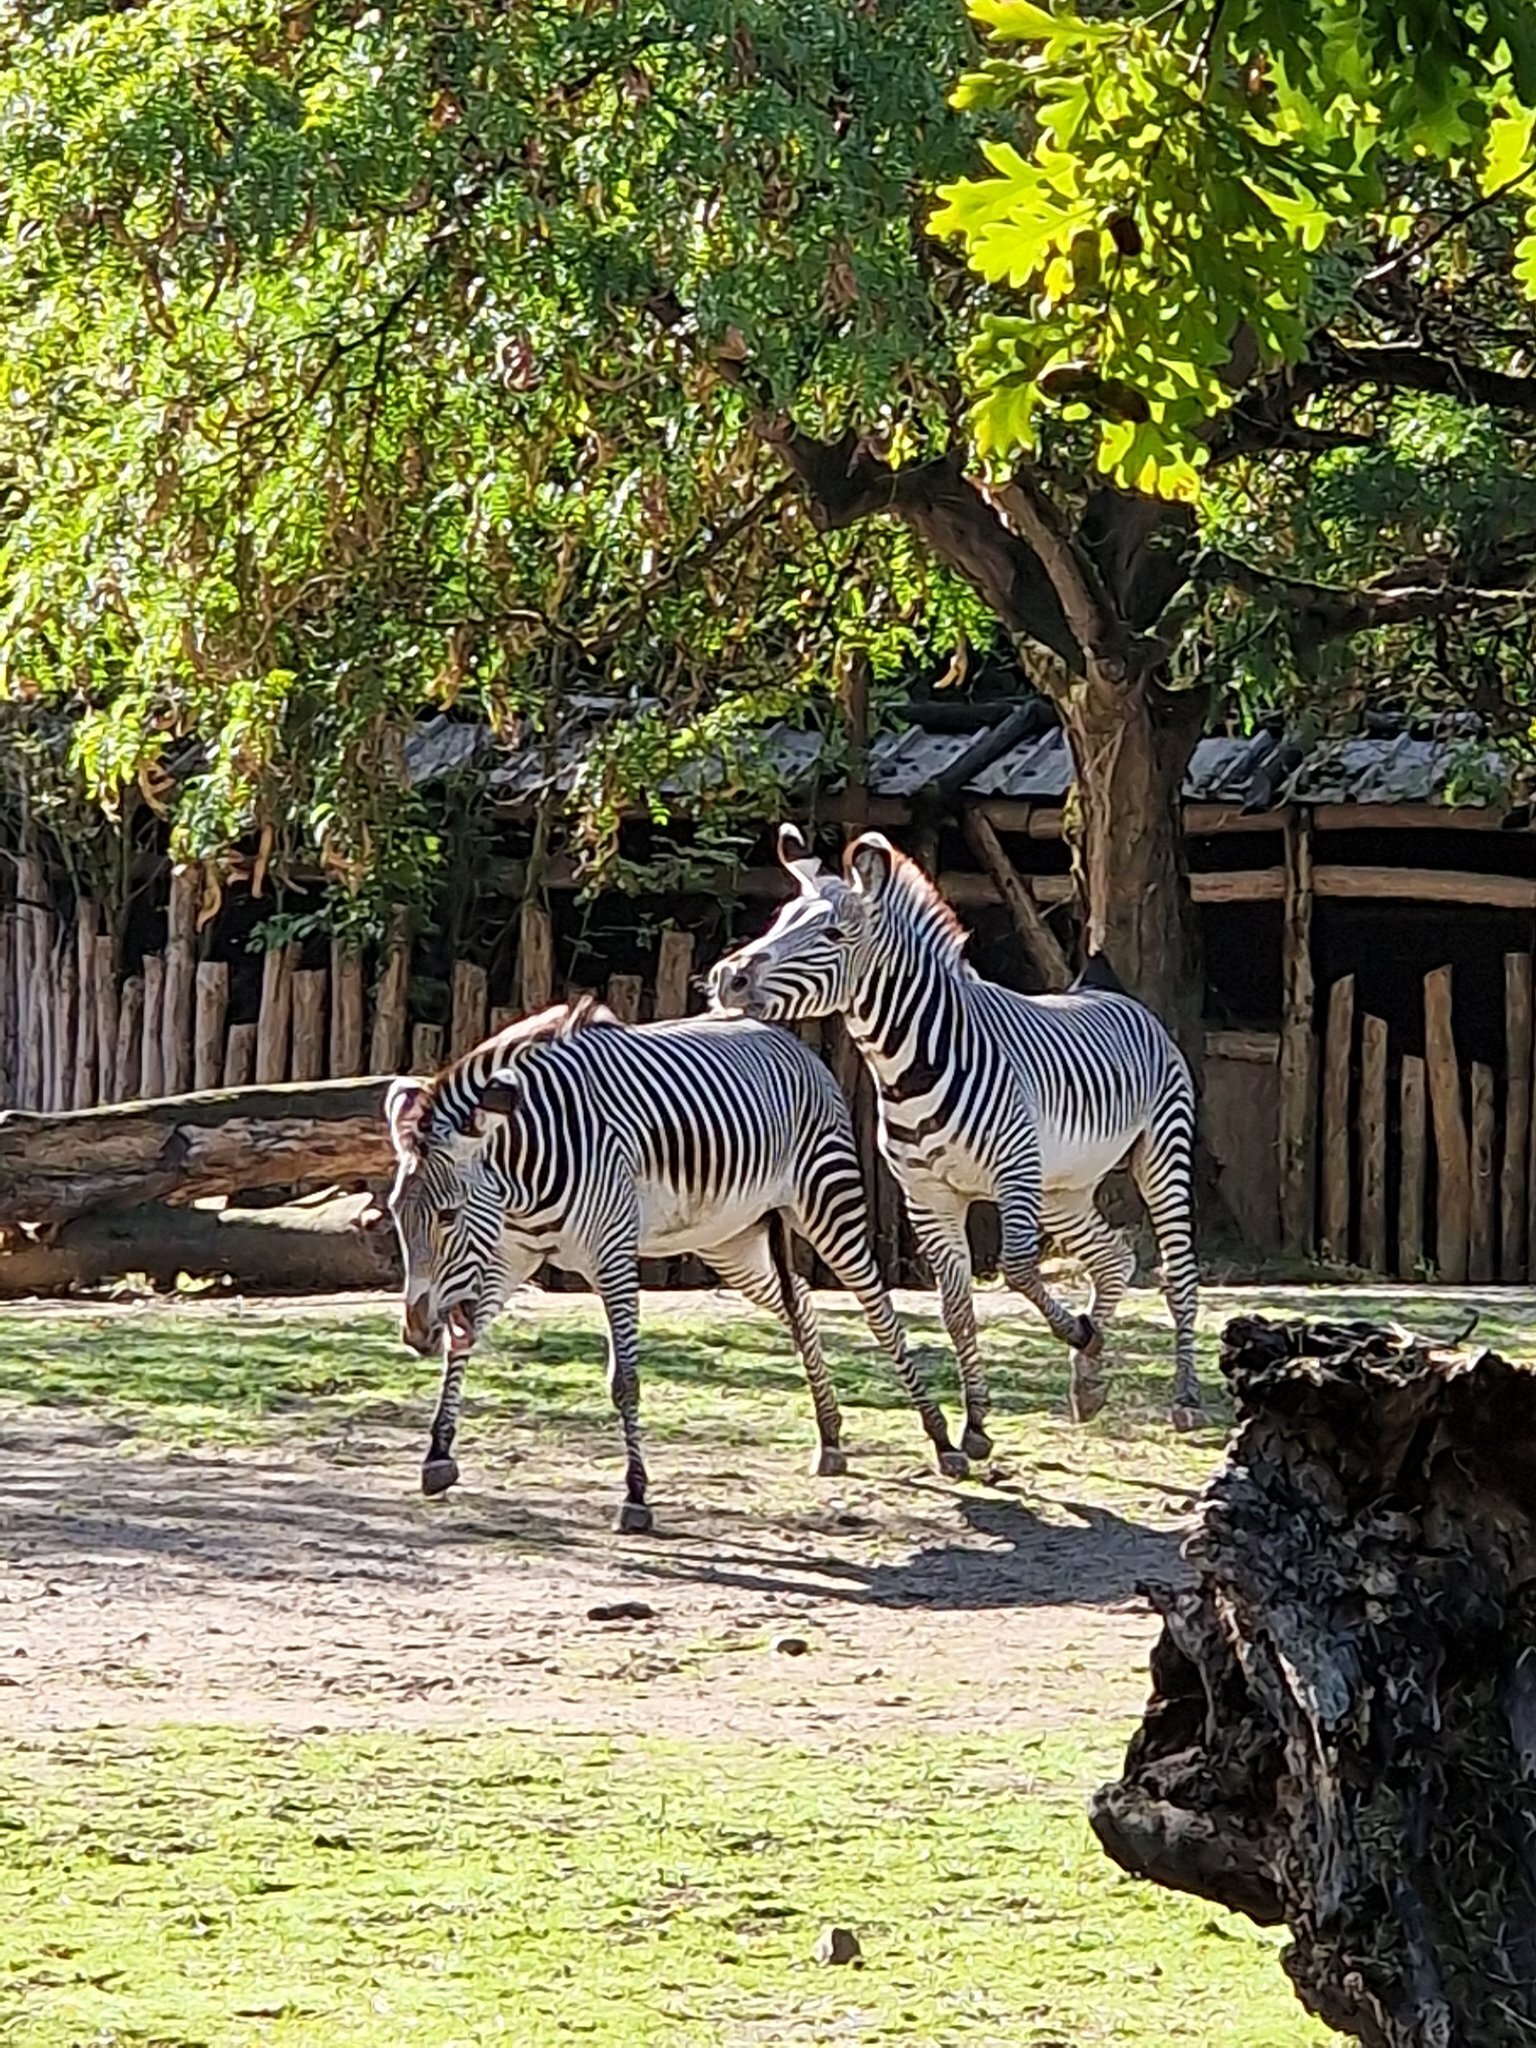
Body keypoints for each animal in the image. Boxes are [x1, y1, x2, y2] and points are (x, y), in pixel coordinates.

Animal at [384, 998, 970, 1532]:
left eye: (448, 1214)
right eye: (394, 1212)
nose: (414, 1334)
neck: (524, 1177)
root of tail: (791, 1040)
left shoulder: (612, 1255)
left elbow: (624, 1381)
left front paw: (636, 1495)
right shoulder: (509, 1253)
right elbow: (463, 1344)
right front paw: (438, 1456)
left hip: (827, 1202)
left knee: (879, 1311)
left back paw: (944, 1441)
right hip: (732, 1242)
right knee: (800, 1303)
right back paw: (829, 1436)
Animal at [707, 826, 1203, 1434]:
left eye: (831, 934)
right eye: (778, 920)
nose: (728, 978)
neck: (909, 1068)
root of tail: (1105, 991)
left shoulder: (1014, 1175)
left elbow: (1017, 1269)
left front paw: (1075, 1331)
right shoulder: (928, 1197)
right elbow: (957, 1310)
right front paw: (976, 1426)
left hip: (1161, 1153)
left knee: (1177, 1275)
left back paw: (1183, 1397)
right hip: (1064, 1187)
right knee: (1115, 1261)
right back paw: (1088, 1381)